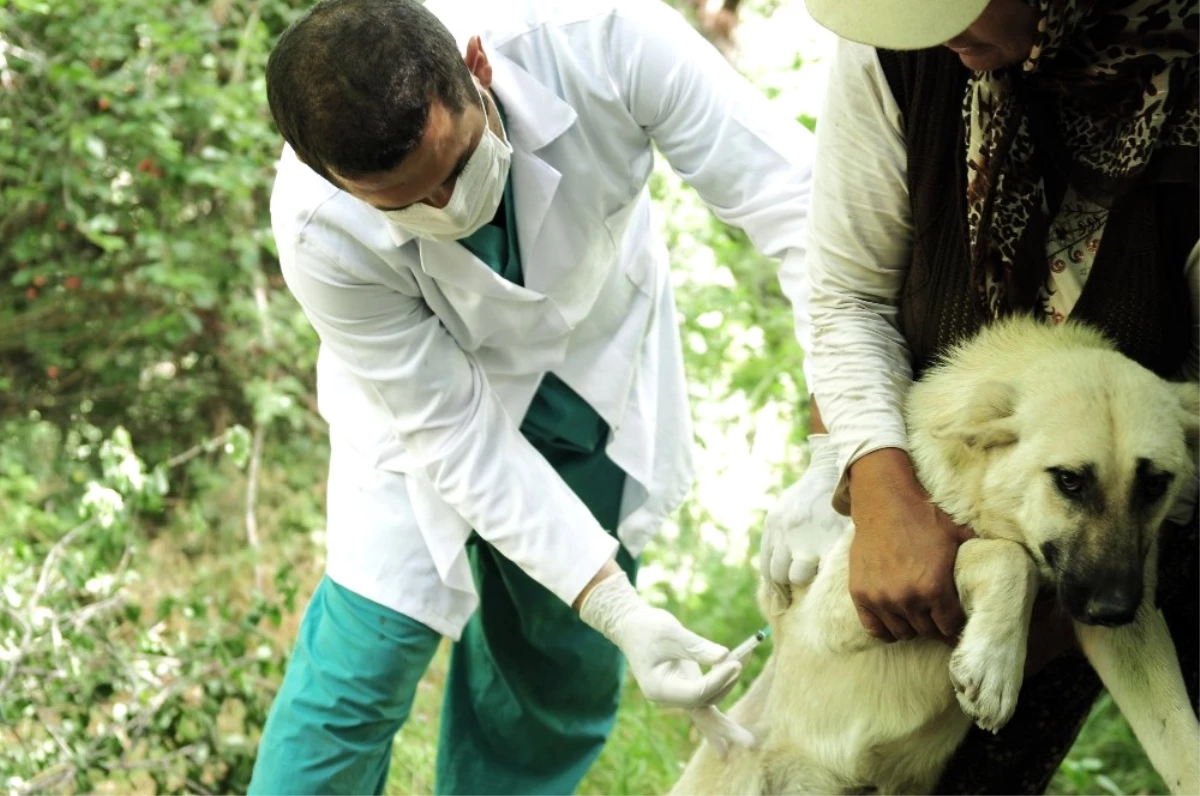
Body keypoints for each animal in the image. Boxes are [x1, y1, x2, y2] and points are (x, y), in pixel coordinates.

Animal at [672, 316, 1200, 796]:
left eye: (1156, 484)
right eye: (1069, 480)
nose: (1115, 610)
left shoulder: (1128, 636)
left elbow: (1179, 737)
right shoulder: (839, 610)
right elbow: (1006, 557)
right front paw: (995, 663)